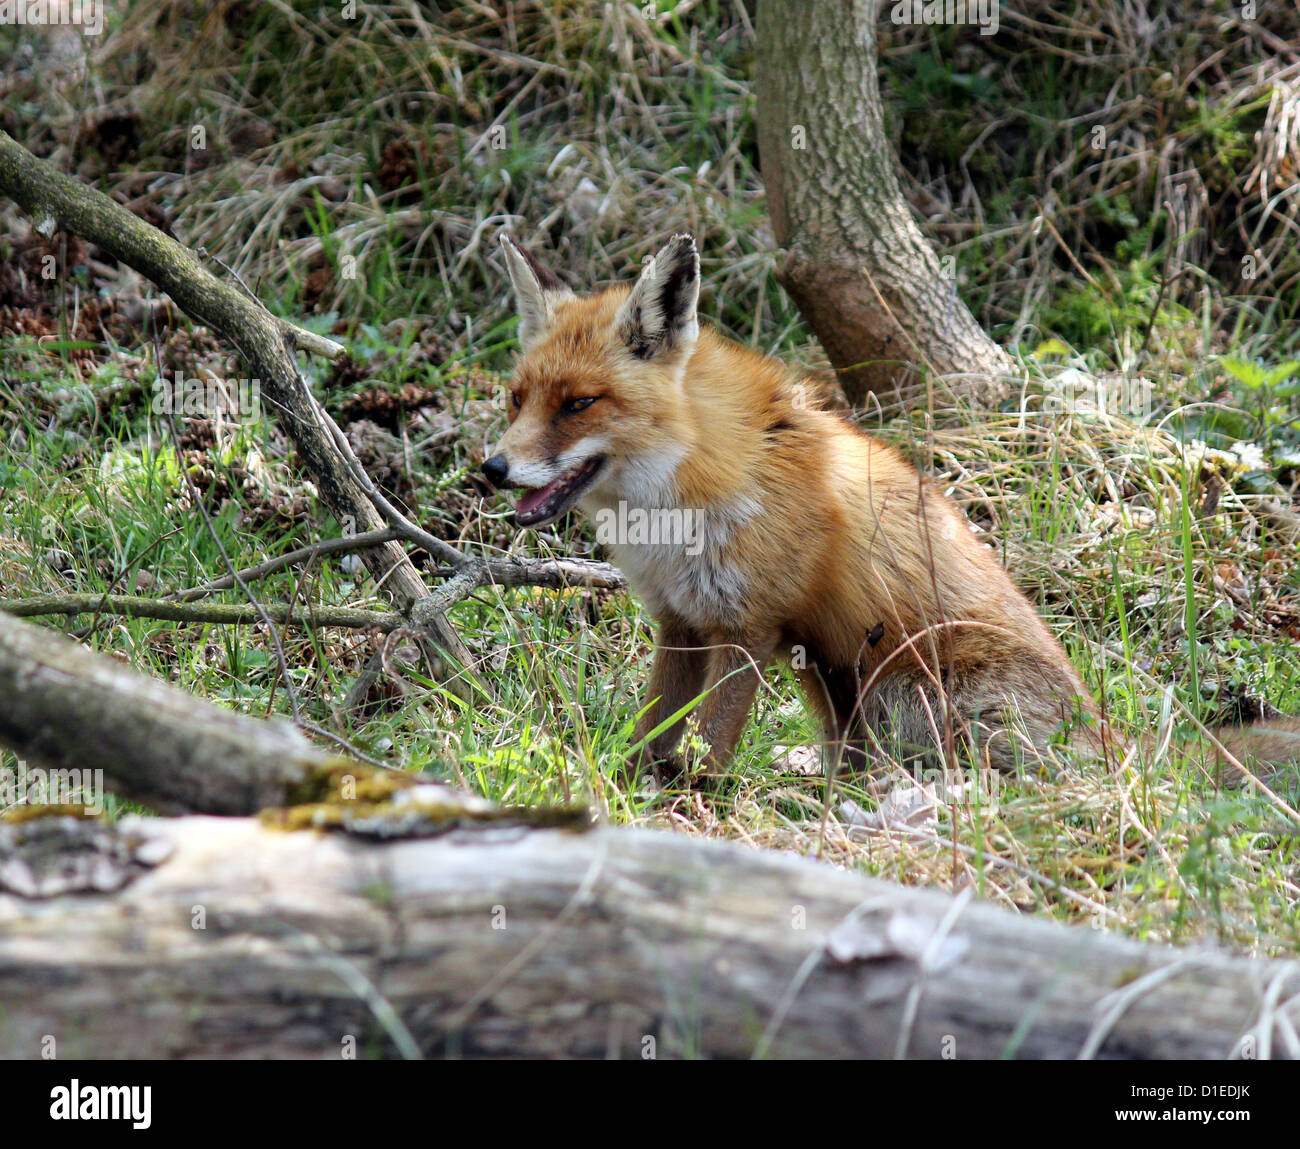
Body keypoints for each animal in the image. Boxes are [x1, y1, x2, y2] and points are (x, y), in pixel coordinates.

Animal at [486, 233, 1300, 790]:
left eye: (580, 404)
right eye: (518, 399)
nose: (491, 469)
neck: (680, 492)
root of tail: (1116, 739)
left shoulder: (748, 625)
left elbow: (708, 742)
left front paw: (694, 801)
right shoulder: (683, 623)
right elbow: (649, 732)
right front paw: (625, 792)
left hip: (903, 687)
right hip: (838, 687)